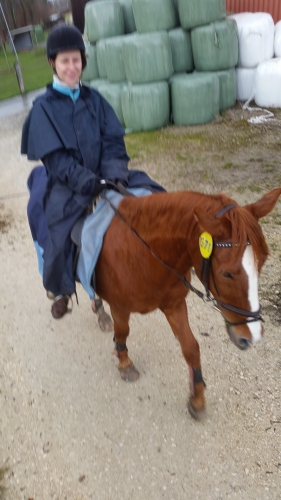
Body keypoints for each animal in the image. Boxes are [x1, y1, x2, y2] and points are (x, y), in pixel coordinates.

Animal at [93, 188, 278, 418]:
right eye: (226, 273)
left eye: (263, 261)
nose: (252, 337)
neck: (141, 253)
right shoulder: (120, 307)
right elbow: (122, 332)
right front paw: (124, 362)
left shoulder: (174, 305)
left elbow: (191, 347)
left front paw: (197, 398)